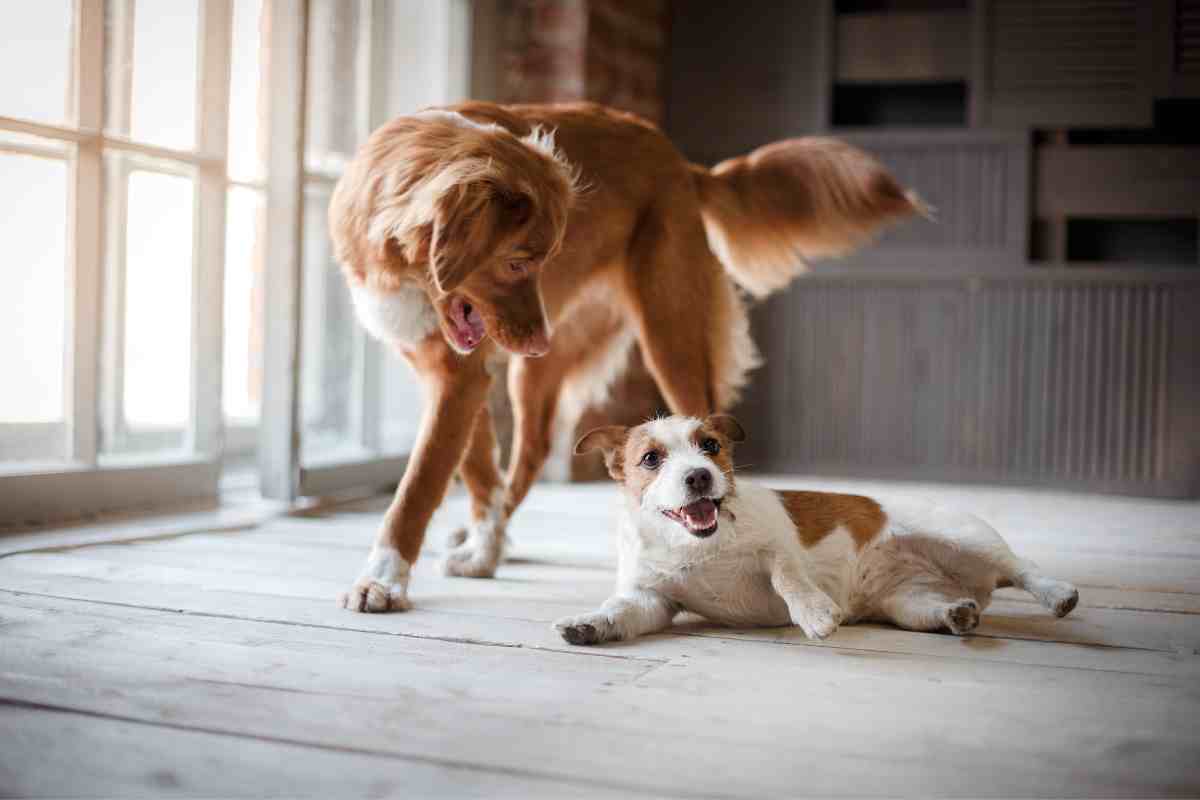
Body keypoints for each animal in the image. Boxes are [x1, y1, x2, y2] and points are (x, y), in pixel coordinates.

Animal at [328, 100, 916, 614]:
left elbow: (418, 485)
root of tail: (679, 162)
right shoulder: (455, 375)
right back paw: (490, 538)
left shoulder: (460, 377)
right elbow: (473, 471)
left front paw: (381, 579)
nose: (540, 341)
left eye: (544, 260)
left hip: (667, 336)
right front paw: (480, 550)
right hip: (540, 369)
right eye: (518, 262)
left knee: (698, 428)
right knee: (530, 453)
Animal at [556, 417, 1084, 647]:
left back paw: (1058, 594)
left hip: (962, 535)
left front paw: (812, 612)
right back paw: (955, 614)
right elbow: (622, 610)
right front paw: (590, 623)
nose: (700, 476)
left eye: (711, 446)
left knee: (1023, 568)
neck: (696, 546)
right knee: (935, 607)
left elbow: (787, 575)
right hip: (906, 601)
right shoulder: (652, 599)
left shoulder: (778, 546)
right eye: (651, 459)